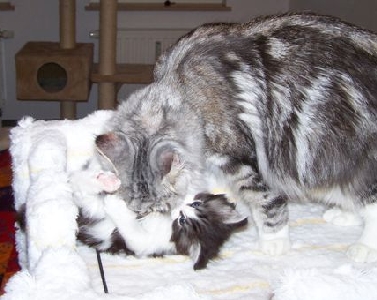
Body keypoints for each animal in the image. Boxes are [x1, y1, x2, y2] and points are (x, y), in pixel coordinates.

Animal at [96, 12, 377, 262]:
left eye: (160, 207)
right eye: (140, 209)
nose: (149, 218)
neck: (182, 88)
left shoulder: (243, 160)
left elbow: (267, 203)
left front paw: (274, 242)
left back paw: (364, 247)